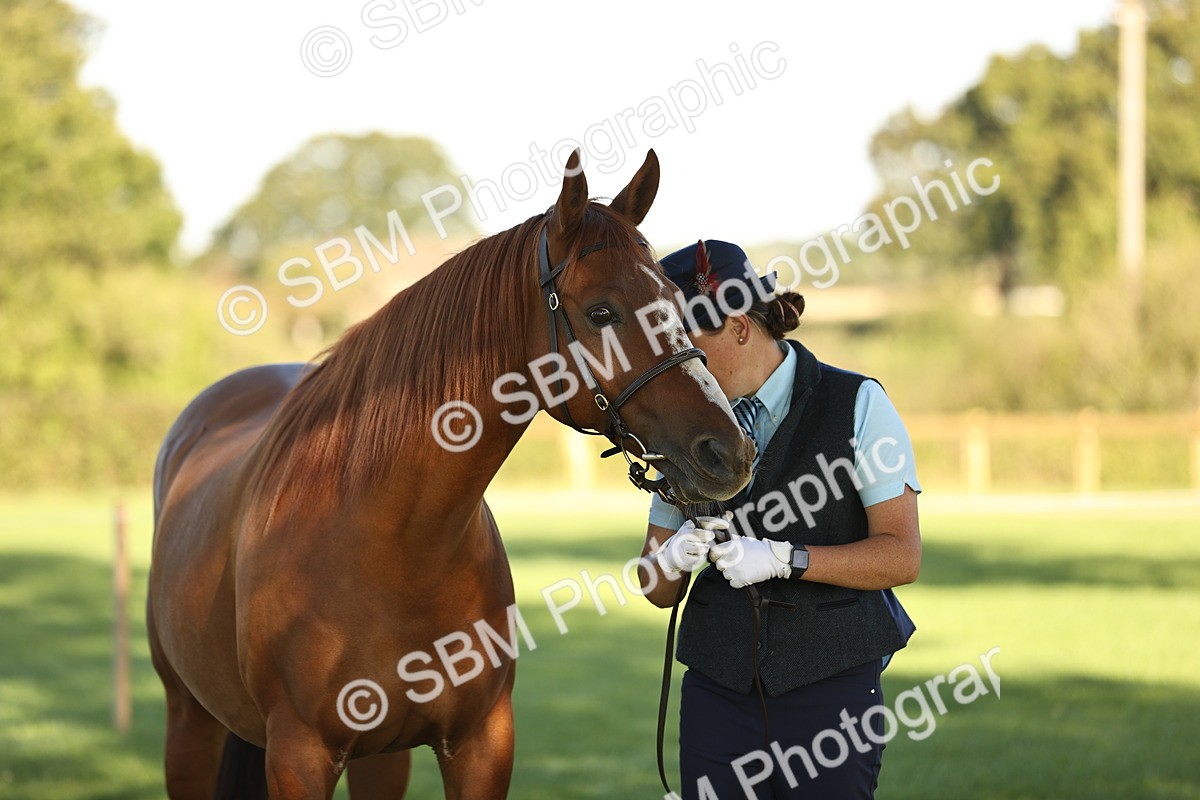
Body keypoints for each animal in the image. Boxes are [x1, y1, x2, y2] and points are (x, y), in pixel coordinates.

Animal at [147, 149, 755, 799]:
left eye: (674, 300)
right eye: (601, 311)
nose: (729, 452)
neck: (399, 544)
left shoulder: (480, 744)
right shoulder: (298, 756)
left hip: (379, 757)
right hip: (189, 722)